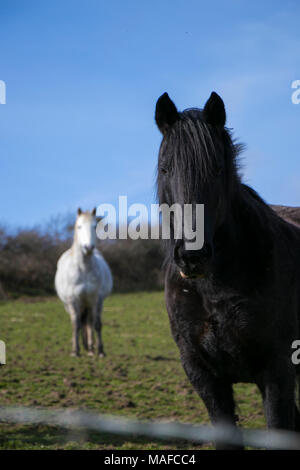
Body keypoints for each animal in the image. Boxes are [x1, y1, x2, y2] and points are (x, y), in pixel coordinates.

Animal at [54, 208, 112, 356]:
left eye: (95, 226)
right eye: (79, 227)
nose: (88, 247)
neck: (83, 269)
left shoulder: (96, 299)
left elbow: (97, 324)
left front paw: (100, 350)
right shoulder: (72, 300)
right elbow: (76, 324)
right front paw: (75, 351)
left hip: (89, 304)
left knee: (89, 321)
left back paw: (90, 348)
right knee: (80, 321)